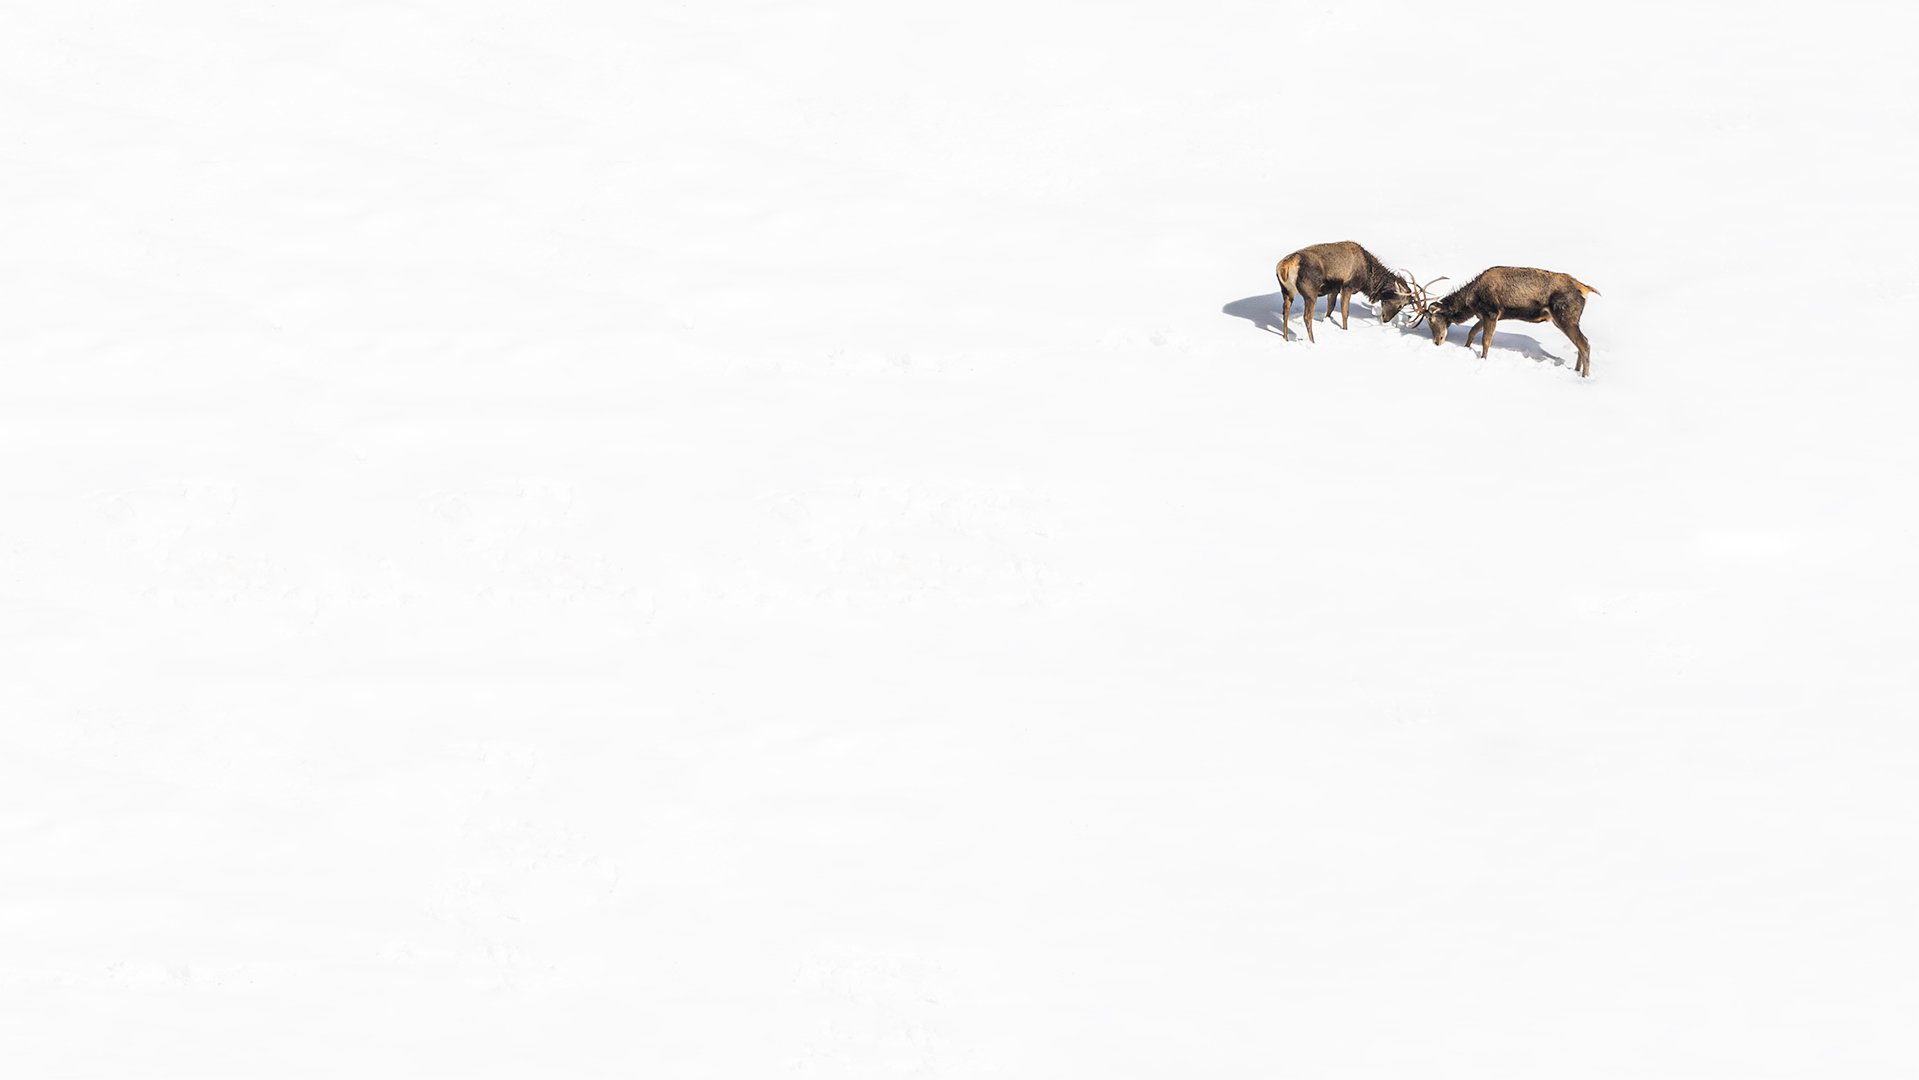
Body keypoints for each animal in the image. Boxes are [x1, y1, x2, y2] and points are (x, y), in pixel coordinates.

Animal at [1273, 241, 1430, 343]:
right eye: (1401, 304)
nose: (1385, 319)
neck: (1368, 277)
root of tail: (1284, 266)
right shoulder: (1347, 287)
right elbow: (1345, 313)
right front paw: (1345, 331)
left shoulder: (1334, 290)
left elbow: (1330, 310)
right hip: (1310, 293)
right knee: (1307, 317)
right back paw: (1313, 342)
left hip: (1287, 291)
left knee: (1285, 313)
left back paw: (1286, 339)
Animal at [1412, 266, 1601, 377]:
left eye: (1431, 319)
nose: (1437, 341)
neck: (1471, 300)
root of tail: (1585, 289)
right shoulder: (1486, 315)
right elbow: (1472, 332)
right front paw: (1466, 348)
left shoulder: (1491, 312)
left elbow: (1486, 340)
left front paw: (1483, 359)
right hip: (1563, 319)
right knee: (1581, 343)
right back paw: (1576, 371)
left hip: (1565, 317)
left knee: (1584, 344)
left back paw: (1584, 377)